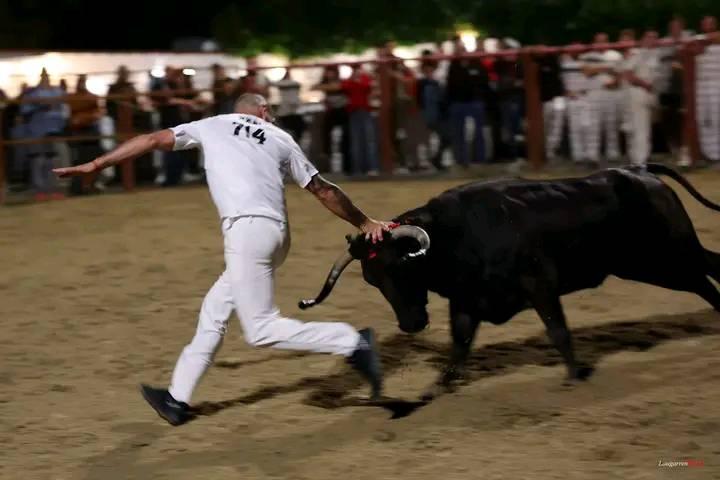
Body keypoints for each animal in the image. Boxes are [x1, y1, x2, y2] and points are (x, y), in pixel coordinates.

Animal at [299, 164, 720, 399]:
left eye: (401, 266)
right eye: (372, 279)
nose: (410, 324)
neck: (458, 235)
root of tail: (640, 172)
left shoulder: (540, 286)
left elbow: (557, 330)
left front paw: (574, 376)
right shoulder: (466, 302)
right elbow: (459, 346)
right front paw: (437, 388)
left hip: (666, 257)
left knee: (706, 278)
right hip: (650, 263)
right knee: (708, 274)